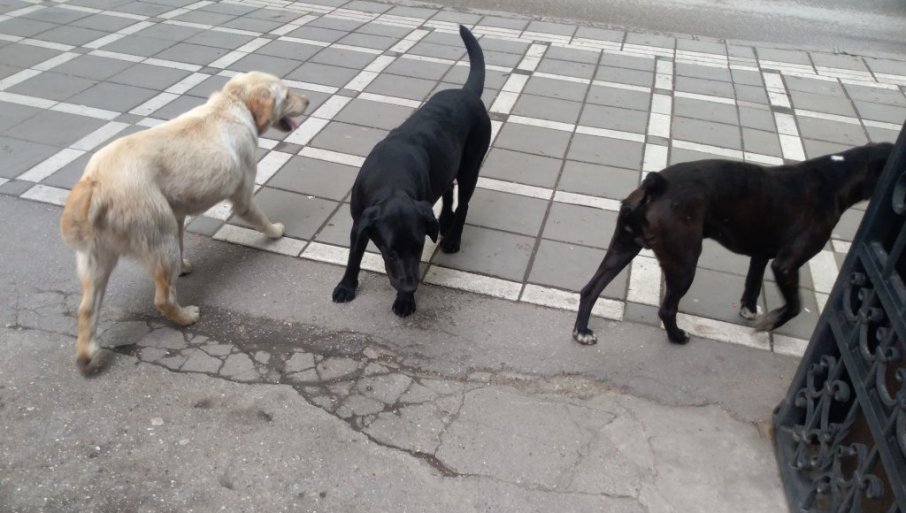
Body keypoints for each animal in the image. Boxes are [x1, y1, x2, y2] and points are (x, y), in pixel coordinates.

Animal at [60, 71, 309, 373]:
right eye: (287, 95)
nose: (308, 100)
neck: (232, 105)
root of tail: (95, 183)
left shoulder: (177, 213)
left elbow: (182, 240)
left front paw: (183, 265)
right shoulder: (243, 196)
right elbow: (259, 218)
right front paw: (275, 231)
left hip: (98, 258)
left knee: (86, 309)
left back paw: (87, 355)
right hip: (158, 233)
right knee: (163, 298)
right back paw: (185, 316)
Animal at [331, 25, 491, 317]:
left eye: (419, 249)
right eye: (391, 252)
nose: (409, 286)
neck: (391, 179)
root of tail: (468, 93)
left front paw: (405, 301)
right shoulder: (358, 223)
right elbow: (354, 254)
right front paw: (347, 285)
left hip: (471, 165)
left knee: (464, 203)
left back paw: (453, 237)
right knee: (449, 189)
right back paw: (445, 220)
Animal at [572, 142, 894, 345]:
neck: (835, 176)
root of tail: (658, 184)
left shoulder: (762, 255)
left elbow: (752, 283)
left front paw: (749, 309)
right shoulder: (786, 265)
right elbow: (793, 305)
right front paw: (770, 323)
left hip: (623, 247)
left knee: (590, 290)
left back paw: (582, 330)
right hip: (684, 263)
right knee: (667, 310)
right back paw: (677, 337)